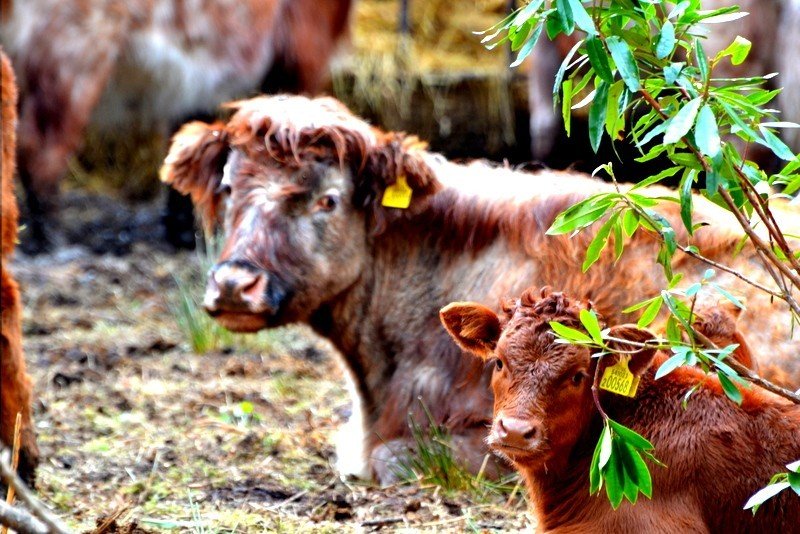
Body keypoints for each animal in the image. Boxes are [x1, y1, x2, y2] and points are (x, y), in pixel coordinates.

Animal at [0, 0, 352, 253]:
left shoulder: (195, 85)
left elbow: (186, 148)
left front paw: (184, 233)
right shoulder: (302, 50)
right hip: (73, 54)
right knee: (39, 147)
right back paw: (53, 241)